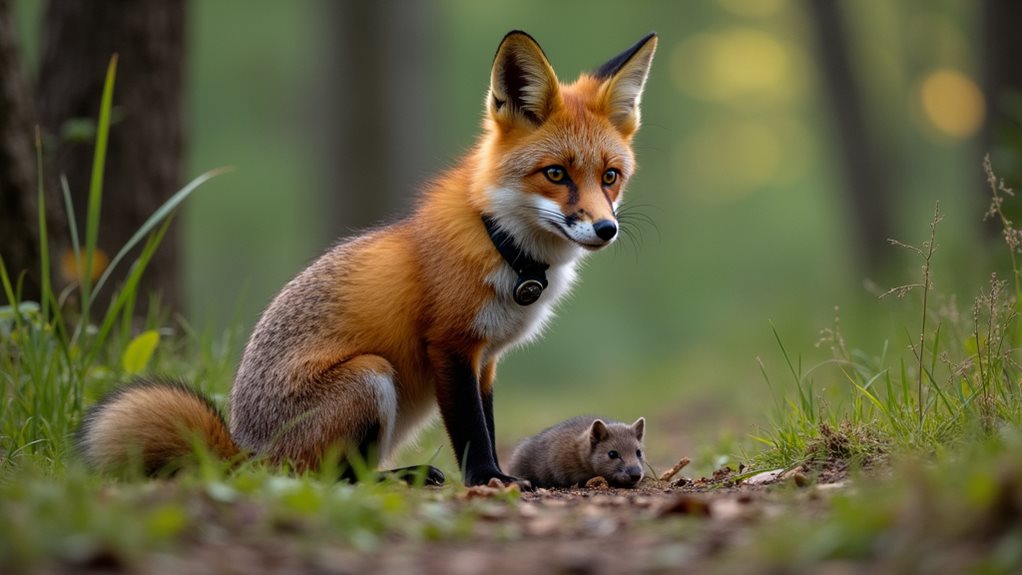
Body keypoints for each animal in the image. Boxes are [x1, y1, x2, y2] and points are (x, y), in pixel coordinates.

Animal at [77, 30, 658, 487]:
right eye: (556, 174)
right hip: (371, 376)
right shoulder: (450, 345)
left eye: (610, 176)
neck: (502, 244)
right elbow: (473, 431)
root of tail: (246, 453)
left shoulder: (487, 359)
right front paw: (490, 480)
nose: (605, 228)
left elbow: (489, 423)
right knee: (327, 479)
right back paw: (398, 478)